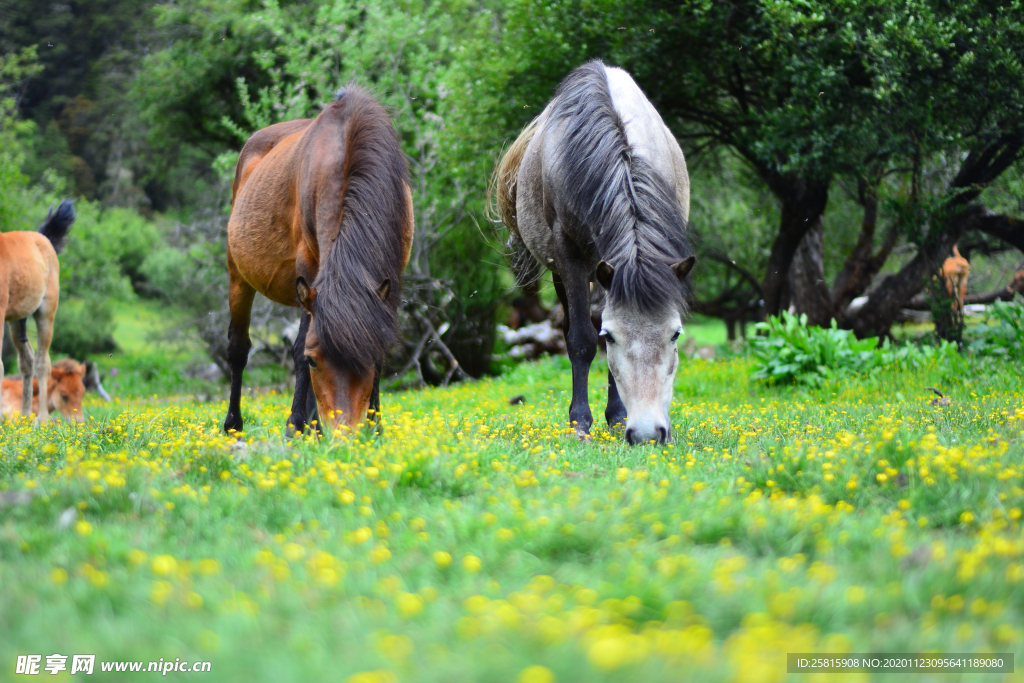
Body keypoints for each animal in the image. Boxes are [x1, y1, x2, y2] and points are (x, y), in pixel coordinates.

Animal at [0, 198, 75, 421]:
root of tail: (43, 238)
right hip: (17, 320)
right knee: (27, 362)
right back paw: (24, 417)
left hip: (46, 313)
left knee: (43, 363)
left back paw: (41, 419)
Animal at [224, 87, 411, 438]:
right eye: (314, 361)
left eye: (370, 357)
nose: (346, 432)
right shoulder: (309, 270)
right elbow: (297, 348)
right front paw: (296, 425)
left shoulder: (391, 278)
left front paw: (375, 424)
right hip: (238, 277)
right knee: (238, 350)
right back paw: (233, 426)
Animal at [489, 61, 696, 446]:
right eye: (613, 336)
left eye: (675, 333)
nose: (648, 433)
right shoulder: (568, 256)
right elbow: (584, 339)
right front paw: (580, 422)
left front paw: (616, 416)